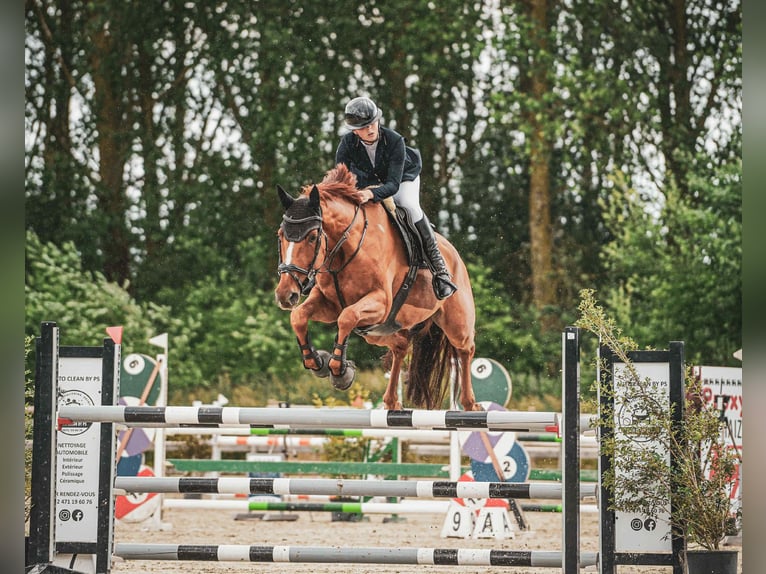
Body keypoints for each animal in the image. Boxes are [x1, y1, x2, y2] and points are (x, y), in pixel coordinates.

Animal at [274, 163, 480, 412]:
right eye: (280, 236)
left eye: (313, 237)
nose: (285, 295)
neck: (345, 248)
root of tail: (454, 254)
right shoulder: (328, 303)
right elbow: (299, 316)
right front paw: (317, 361)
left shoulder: (380, 302)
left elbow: (347, 317)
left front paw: (339, 371)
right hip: (380, 330)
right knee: (400, 346)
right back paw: (391, 401)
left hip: (455, 323)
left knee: (466, 349)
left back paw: (470, 404)